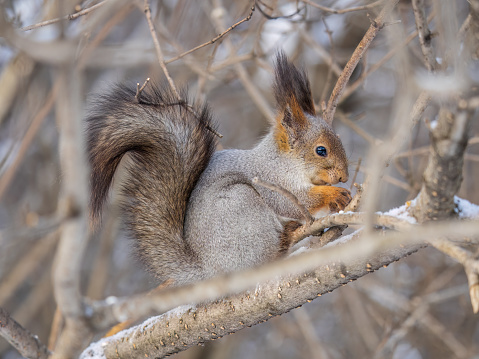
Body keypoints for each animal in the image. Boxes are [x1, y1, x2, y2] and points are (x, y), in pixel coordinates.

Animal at [88, 51, 352, 286]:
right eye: (321, 150)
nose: (344, 176)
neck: (285, 161)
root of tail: (210, 269)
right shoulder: (270, 178)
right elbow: (292, 202)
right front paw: (335, 195)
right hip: (241, 207)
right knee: (262, 257)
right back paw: (284, 239)